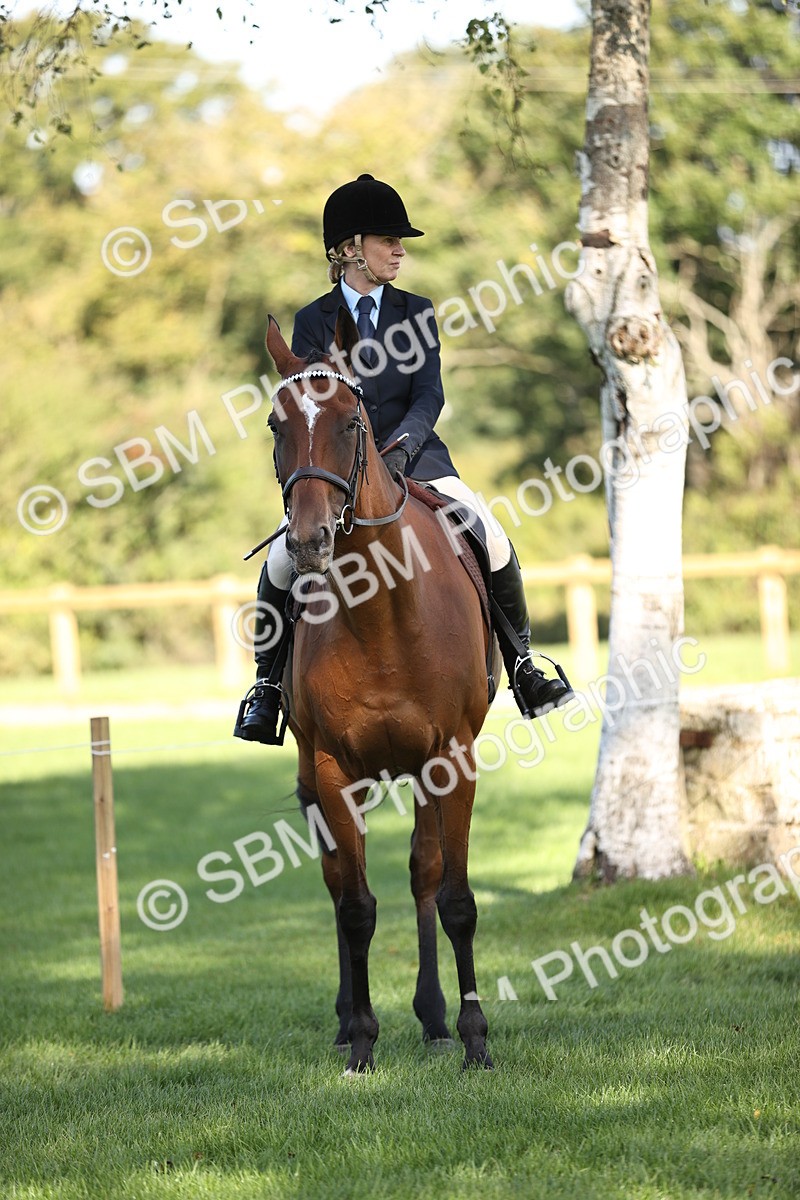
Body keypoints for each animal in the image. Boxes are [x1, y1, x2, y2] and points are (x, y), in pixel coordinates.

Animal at [265, 308, 500, 1072]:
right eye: (276, 426)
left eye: (351, 422)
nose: (308, 542)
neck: (383, 613)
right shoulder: (335, 770)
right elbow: (356, 907)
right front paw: (363, 1040)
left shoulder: (451, 758)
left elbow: (455, 898)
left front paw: (474, 1039)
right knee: (340, 880)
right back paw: (348, 1020)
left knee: (424, 872)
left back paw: (434, 1017)